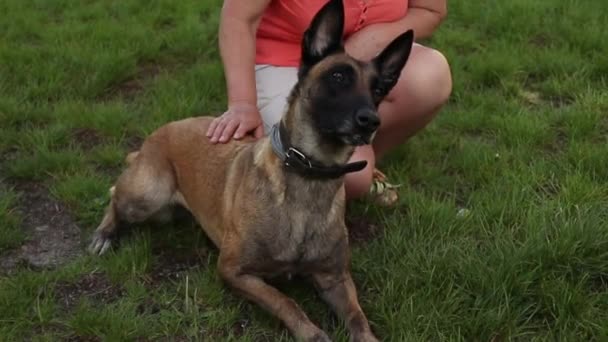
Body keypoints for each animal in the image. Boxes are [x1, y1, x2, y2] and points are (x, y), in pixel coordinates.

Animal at [89, 1, 414, 340]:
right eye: (338, 76)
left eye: (379, 90)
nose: (371, 121)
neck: (309, 180)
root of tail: (159, 133)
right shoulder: (235, 271)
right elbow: (285, 301)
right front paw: (311, 333)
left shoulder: (335, 277)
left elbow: (357, 316)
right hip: (148, 195)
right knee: (115, 196)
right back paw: (104, 235)